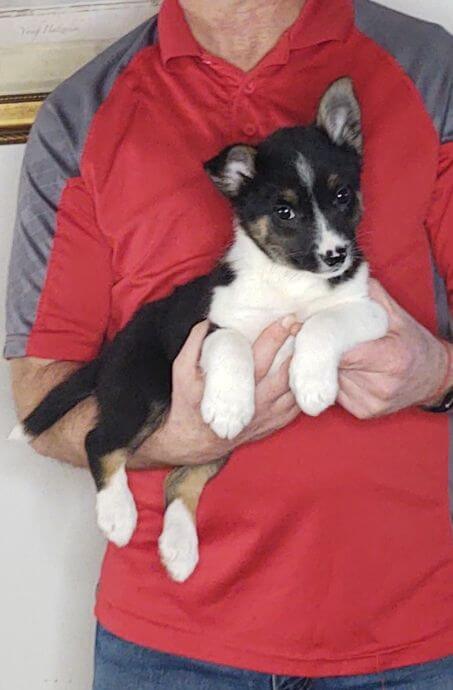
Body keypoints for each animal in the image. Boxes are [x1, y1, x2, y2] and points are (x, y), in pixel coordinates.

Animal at [15, 76, 386, 580]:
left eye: (343, 195)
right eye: (284, 211)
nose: (335, 256)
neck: (291, 281)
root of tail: (113, 350)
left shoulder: (368, 311)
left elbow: (322, 323)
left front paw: (311, 384)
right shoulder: (213, 325)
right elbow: (231, 344)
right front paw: (229, 404)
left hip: (204, 442)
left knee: (180, 478)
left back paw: (178, 545)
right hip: (145, 391)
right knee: (101, 441)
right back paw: (117, 515)